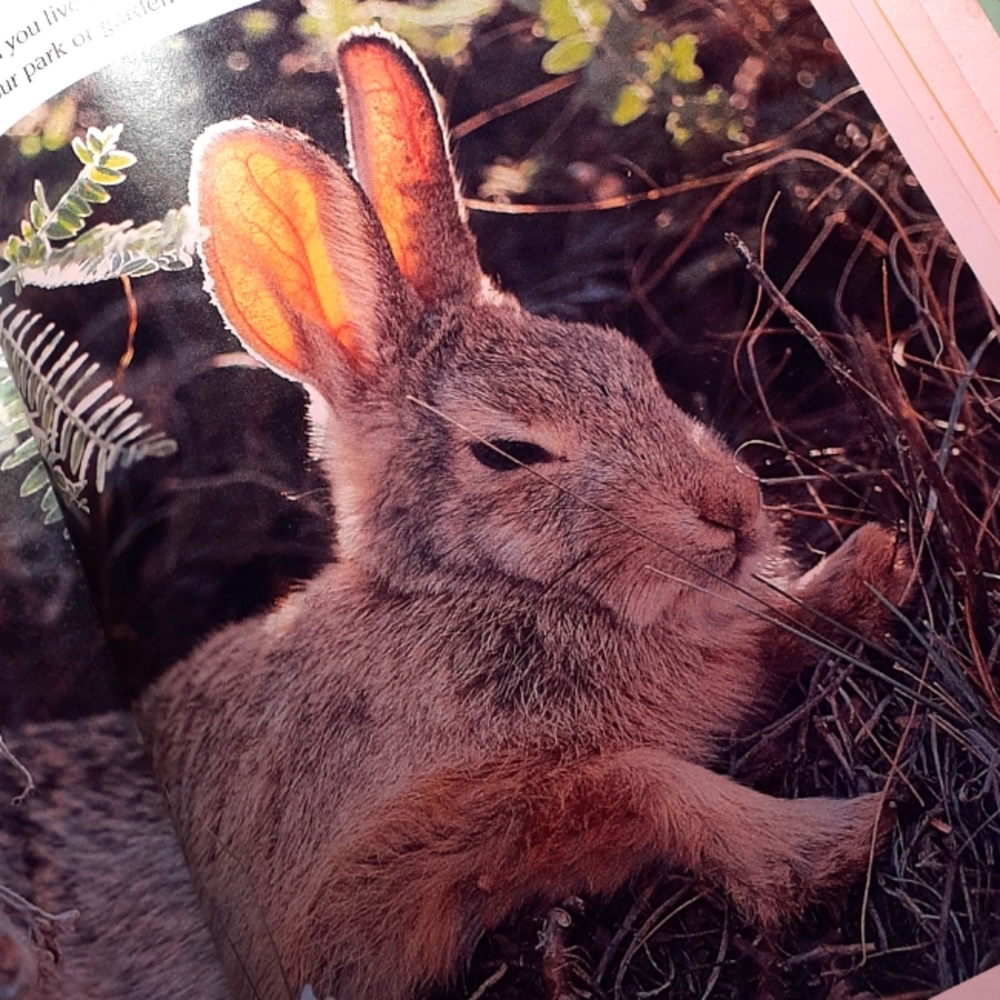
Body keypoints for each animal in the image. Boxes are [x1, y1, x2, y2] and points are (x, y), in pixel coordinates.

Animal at [0, 25, 911, 1000]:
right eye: (509, 453)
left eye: (629, 361)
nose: (732, 514)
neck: (465, 592)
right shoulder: (377, 871)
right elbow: (636, 784)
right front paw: (838, 837)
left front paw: (873, 566)